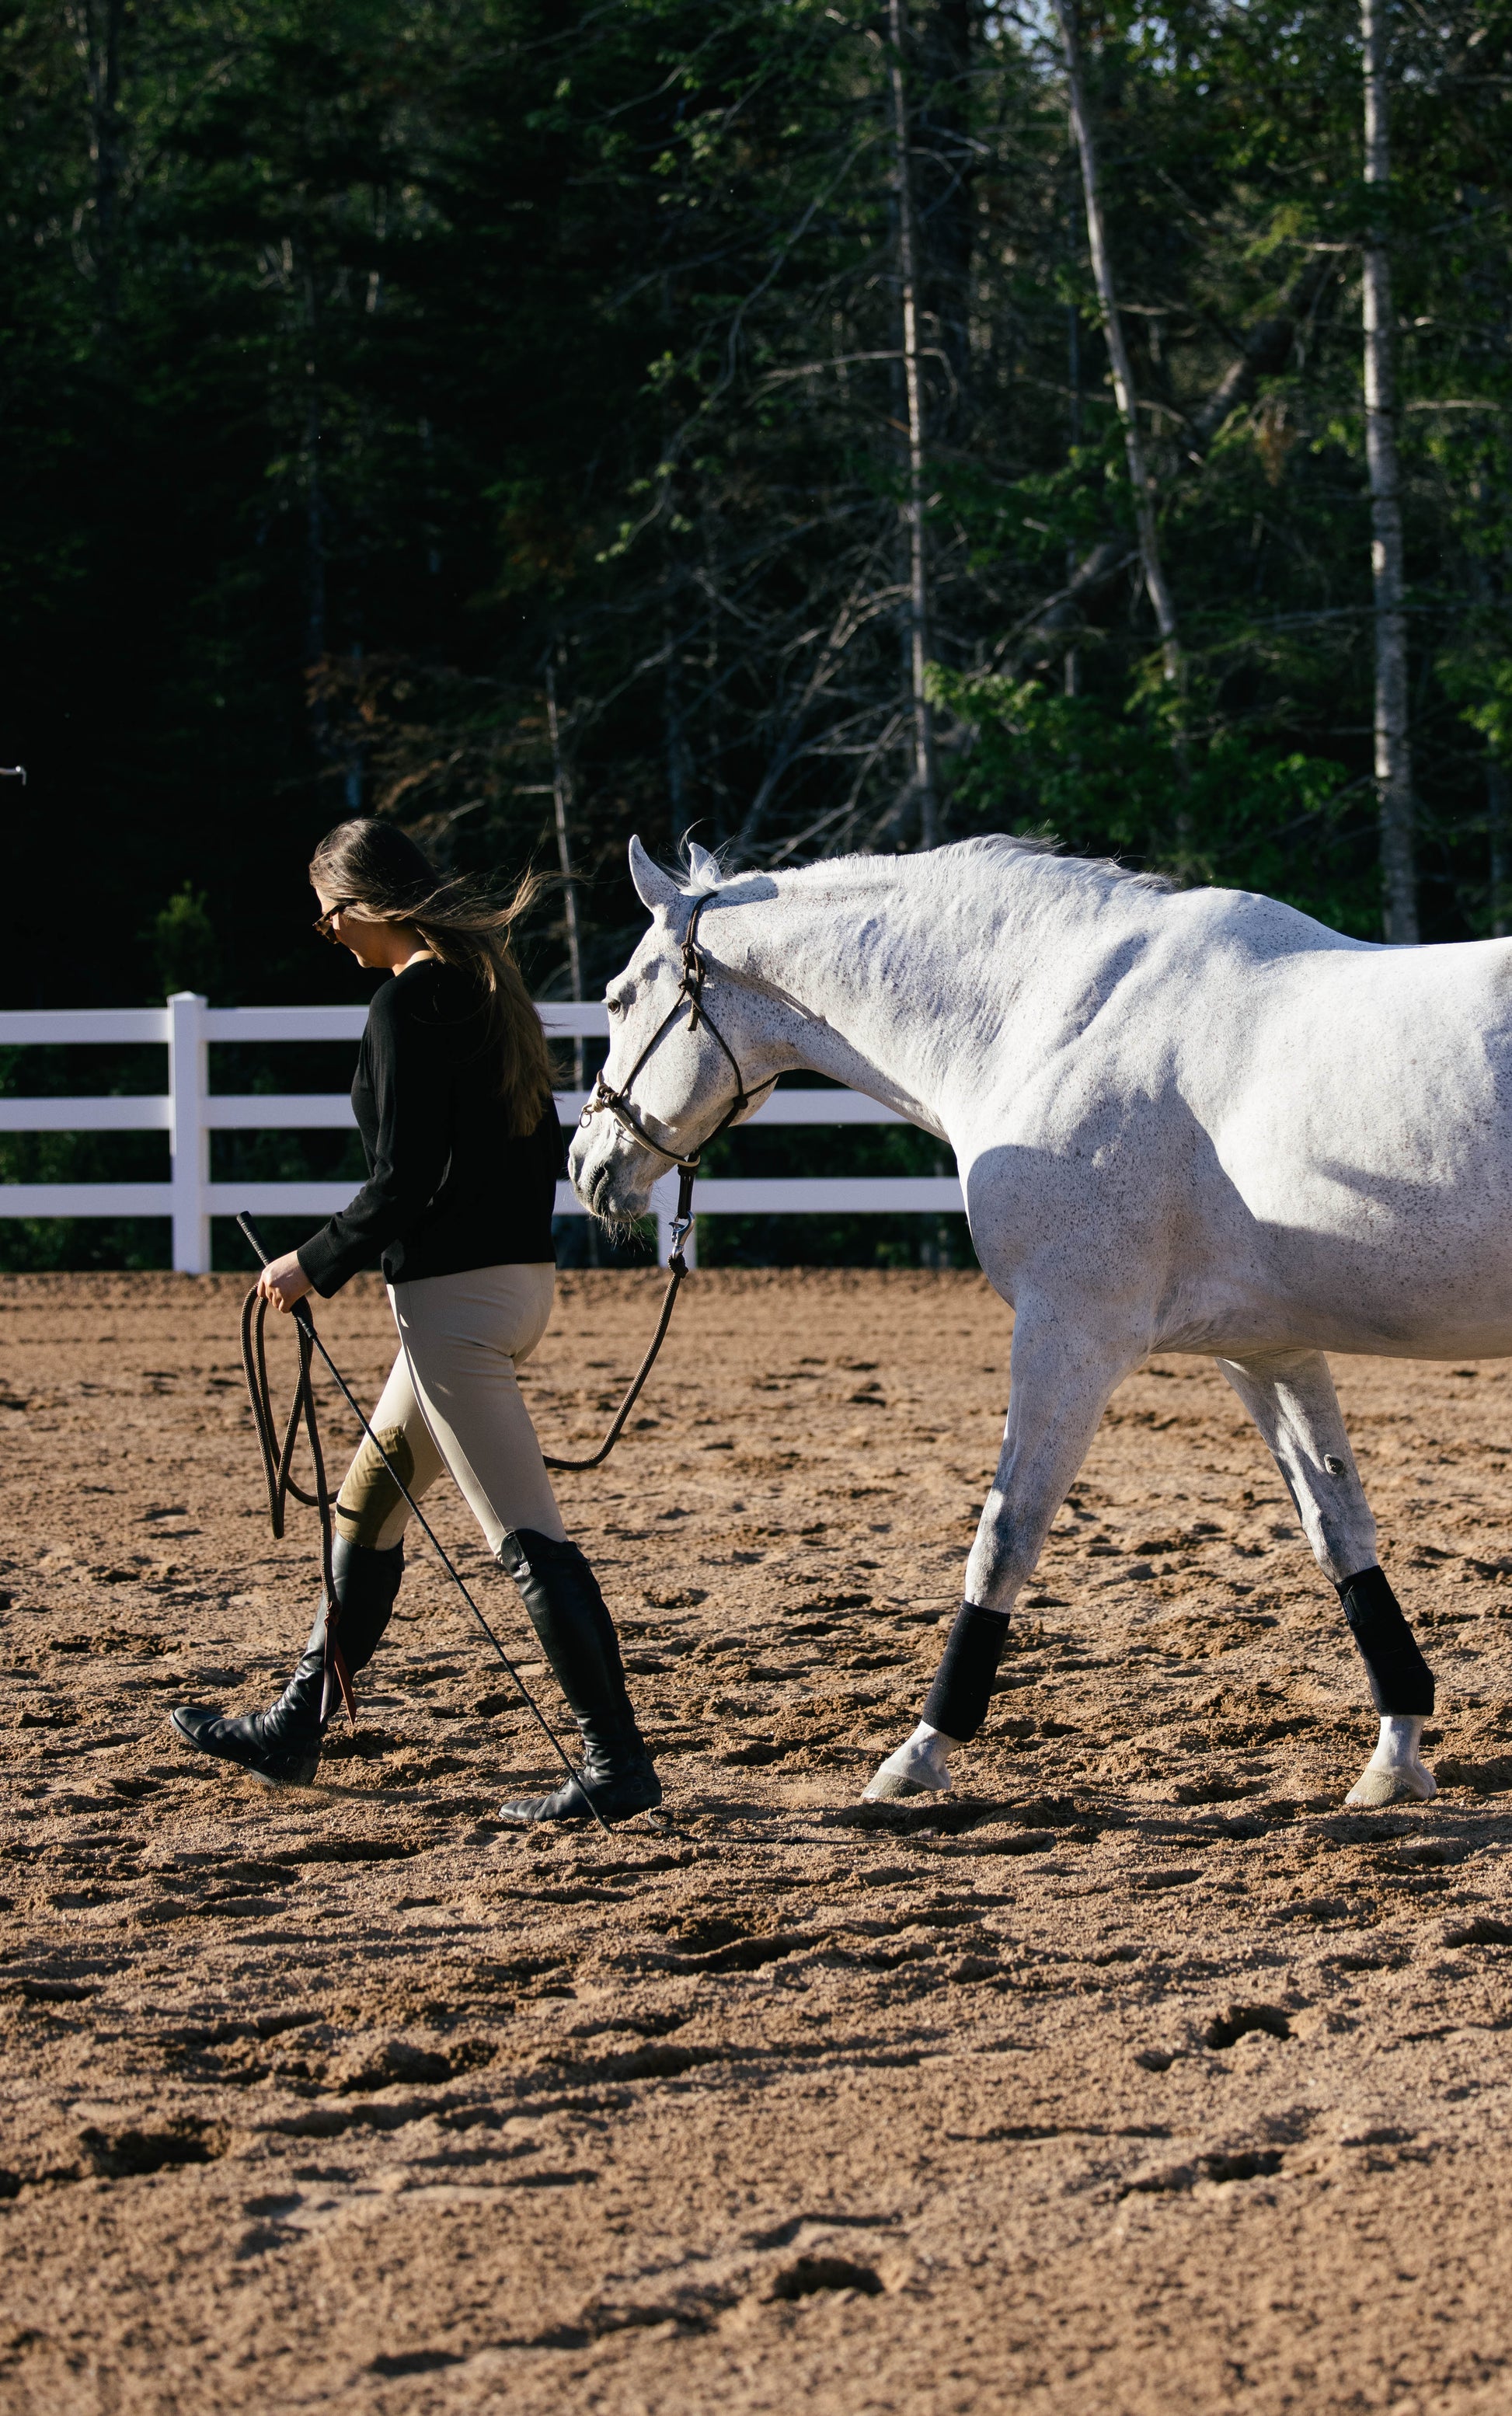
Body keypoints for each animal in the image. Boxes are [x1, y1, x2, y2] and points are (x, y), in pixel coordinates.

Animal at [569, 832, 1512, 1810]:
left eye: (618, 997)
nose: (587, 1165)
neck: (1054, 1015)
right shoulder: (1264, 1350)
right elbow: (1340, 1532)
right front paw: (1395, 1752)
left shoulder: (1067, 1335)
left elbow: (1003, 1538)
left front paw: (919, 1751)